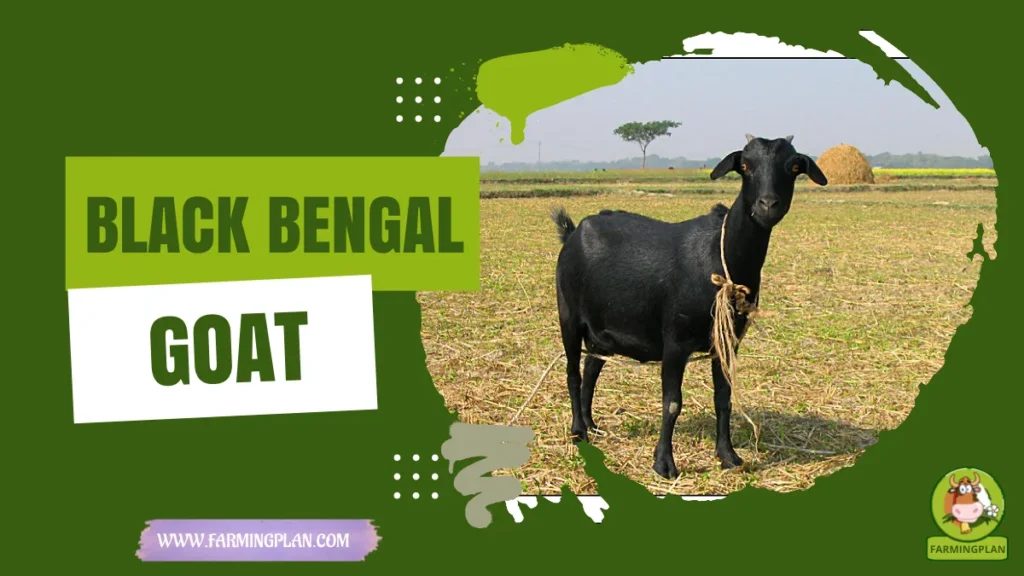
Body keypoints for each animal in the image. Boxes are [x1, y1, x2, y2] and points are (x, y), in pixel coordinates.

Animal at [550, 134, 827, 479]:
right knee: (573, 372)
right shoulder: (675, 341)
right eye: (745, 166)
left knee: (591, 368)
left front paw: (728, 456)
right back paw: (579, 431)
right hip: (568, 315)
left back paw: (592, 424)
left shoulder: (727, 342)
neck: (719, 257)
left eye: (793, 168)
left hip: (603, 328)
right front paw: (664, 464)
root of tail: (572, 232)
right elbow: (672, 403)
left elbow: (723, 398)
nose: (767, 205)